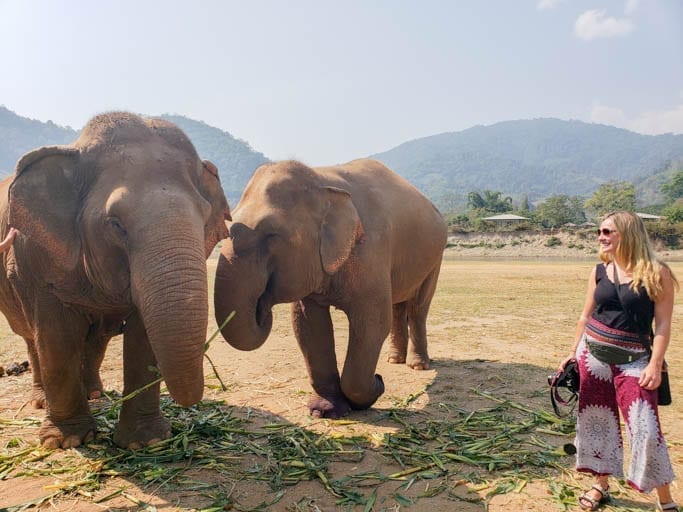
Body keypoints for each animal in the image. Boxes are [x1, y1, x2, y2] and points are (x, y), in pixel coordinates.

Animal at [0, 111, 231, 448]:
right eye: (116, 224)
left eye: (204, 218)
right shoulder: (37, 257)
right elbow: (56, 336)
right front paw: (67, 441)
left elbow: (142, 337)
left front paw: (146, 442)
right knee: (34, 340)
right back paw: (42, 402)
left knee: (96, 339)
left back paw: (93, 393)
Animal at [215, 158, 448, 418]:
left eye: (272, 234)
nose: (262, 306)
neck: (322, 180)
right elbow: (308, 325)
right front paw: (324, 410)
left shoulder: (372, 251)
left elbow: (373, 323)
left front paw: (375, 388)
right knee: (398, 306)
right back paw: (394, 360)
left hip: (436, 256)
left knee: (418, 306)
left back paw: (417, 365)